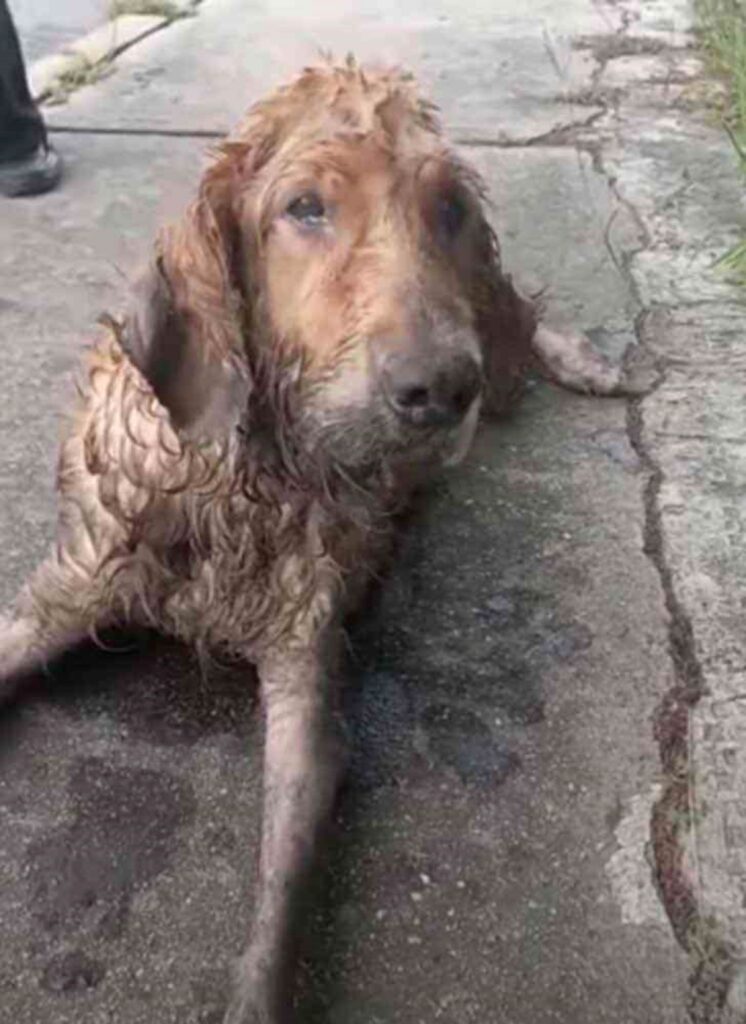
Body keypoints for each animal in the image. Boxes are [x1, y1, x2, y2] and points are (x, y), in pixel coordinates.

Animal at [0, 61, 638, 1024]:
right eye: (305, 206)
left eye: (448, 207)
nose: (441, 389)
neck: (242, 479)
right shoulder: (66, 589)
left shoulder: (307, 675)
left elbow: (278, 905)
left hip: (496, 343)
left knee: (518, 315)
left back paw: (588, 362)